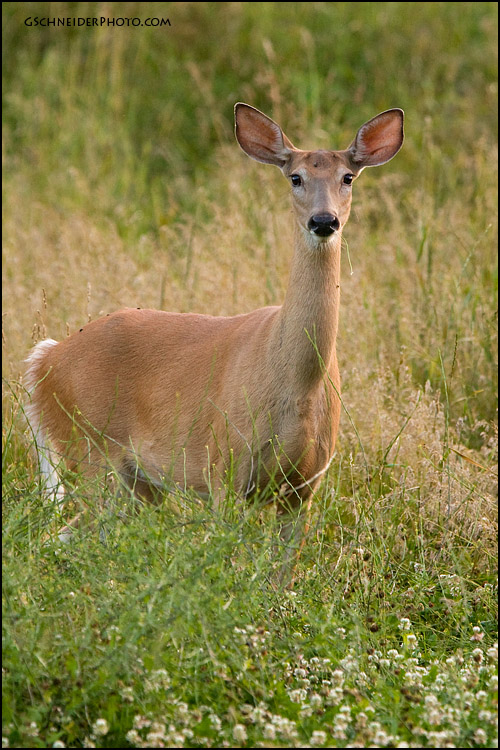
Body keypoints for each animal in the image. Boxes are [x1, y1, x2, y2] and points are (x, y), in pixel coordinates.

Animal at [25, 103, 404, 577]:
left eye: (348, 177)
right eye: (295, 177)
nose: (323, 221)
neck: (294, 384)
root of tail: (44, 359)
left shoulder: (305, 486)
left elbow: (282, 576)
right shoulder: (225, 466)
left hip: (137, 482)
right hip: (91, 448)